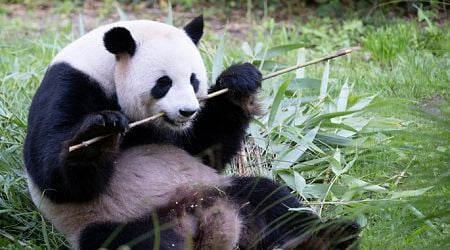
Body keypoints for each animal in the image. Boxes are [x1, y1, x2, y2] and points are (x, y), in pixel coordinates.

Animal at [25, 16, 362, 250]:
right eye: (163, 83)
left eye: (194, 79)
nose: (187, 111)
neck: (105, 65)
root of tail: (197, 217)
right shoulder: (70, 84)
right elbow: (56, 176)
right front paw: (100, 133)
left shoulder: (184, 137)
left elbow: (205, 148)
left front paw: (239, 83)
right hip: (117, 222)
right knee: (141, 243)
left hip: (222, 190)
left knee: (273, 201)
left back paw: (326, 238)